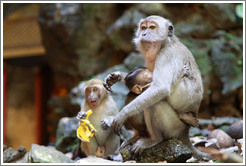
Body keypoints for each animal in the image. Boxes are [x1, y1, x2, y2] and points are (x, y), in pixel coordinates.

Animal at [105, 15, 209, 160]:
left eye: (152, 27)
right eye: (143, 27)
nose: (144, 34)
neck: (164, 44)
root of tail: (186, 132)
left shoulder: (166, 55)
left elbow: (160, 88)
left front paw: (122, 114)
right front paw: (118, 76)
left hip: (175, 127)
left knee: (154, 105)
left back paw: (155, 139)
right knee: (133, 95)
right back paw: (138, 136)